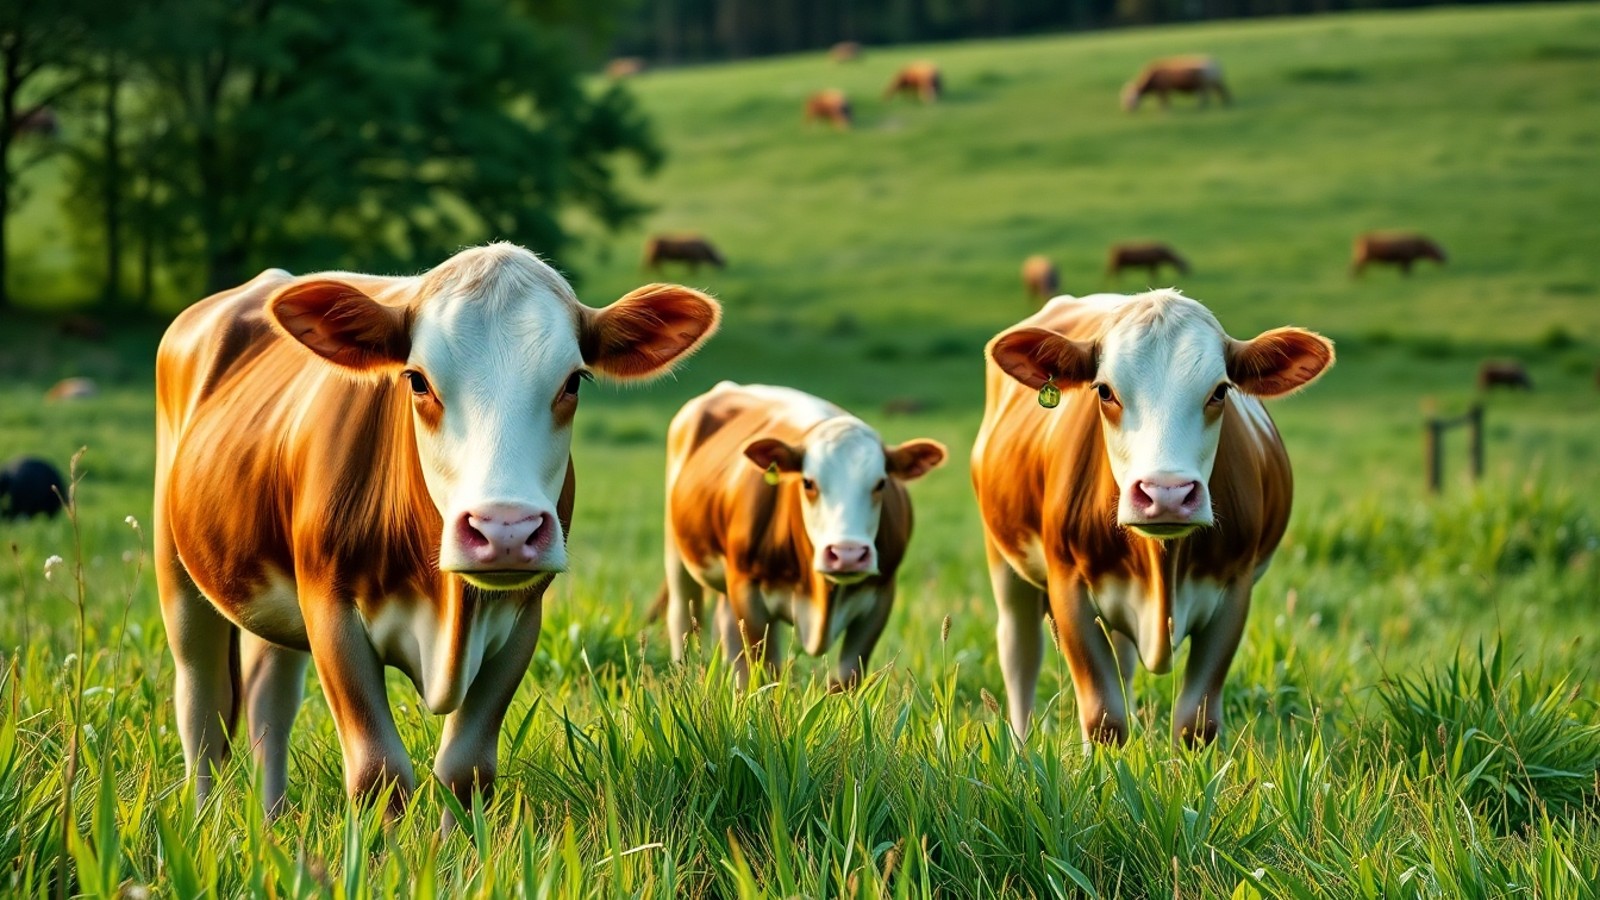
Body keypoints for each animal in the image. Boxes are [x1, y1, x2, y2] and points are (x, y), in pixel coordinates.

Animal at [153, 242, 720, 821]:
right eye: (418, 380)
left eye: (573, 382)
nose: (505, 529)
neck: (448, 609)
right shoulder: (329, 606)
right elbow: (379, 772)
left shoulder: (523, 619)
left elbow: (466, 769)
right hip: (177, 572)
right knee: (202, 706)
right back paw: (203, 820)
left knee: (270, 700)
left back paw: (271, 822)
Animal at [662, 382, 947, 690]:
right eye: (808, 482)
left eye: (881, 483)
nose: (847, 554)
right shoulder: (747, 590)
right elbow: (766, 670)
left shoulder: (881, 596)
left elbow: (847, 677)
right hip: (679, 555)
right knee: (683, 618)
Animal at [971, 289, 1333, 747]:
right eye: (1105, 391)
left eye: (1220, 392)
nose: (1166, 494)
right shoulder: (1068, 585)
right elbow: (1104, 719)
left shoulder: (1235, 590)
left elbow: (1196, 721)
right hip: (1002, 558)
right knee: (1020, 652)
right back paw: (1020, 748)